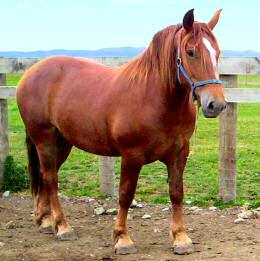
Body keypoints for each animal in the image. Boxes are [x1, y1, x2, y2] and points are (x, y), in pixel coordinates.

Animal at [17, 10, 226, 254]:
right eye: (191, 52)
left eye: (217, 53)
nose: (216, 104)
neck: (154, 98)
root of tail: (31, 72)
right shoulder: (131, 155)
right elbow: (126, 195)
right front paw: (122, 238)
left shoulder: (179, 154)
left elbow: (176, 193)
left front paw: (180, 237)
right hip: (45, 140)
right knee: (51, 178)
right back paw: (62, 226)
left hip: (63, 143)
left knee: (45, 175)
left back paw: (45, 220)